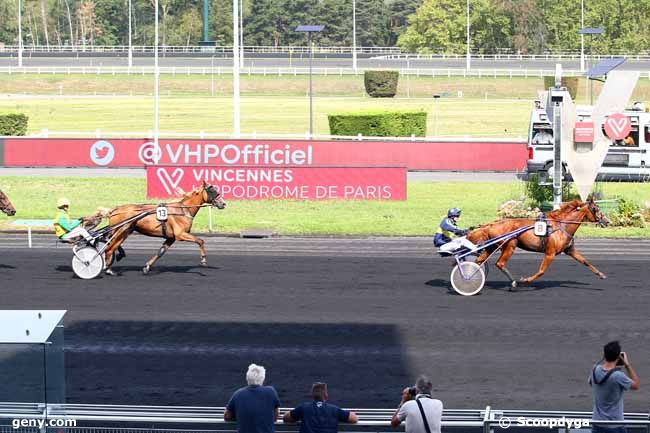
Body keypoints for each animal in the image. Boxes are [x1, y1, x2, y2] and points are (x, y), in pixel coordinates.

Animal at [466, 198, 608, 286]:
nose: (607, 221)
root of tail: (491, 224)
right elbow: (541, 271)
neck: (562, 225)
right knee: (499, 263)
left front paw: (601, 274)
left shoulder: (570, 250)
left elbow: (585, 261)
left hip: (493, 246)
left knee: (479, 261)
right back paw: (513, 282)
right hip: (510, 244)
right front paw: (525, 280)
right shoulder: (550, 253)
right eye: (596, 209)